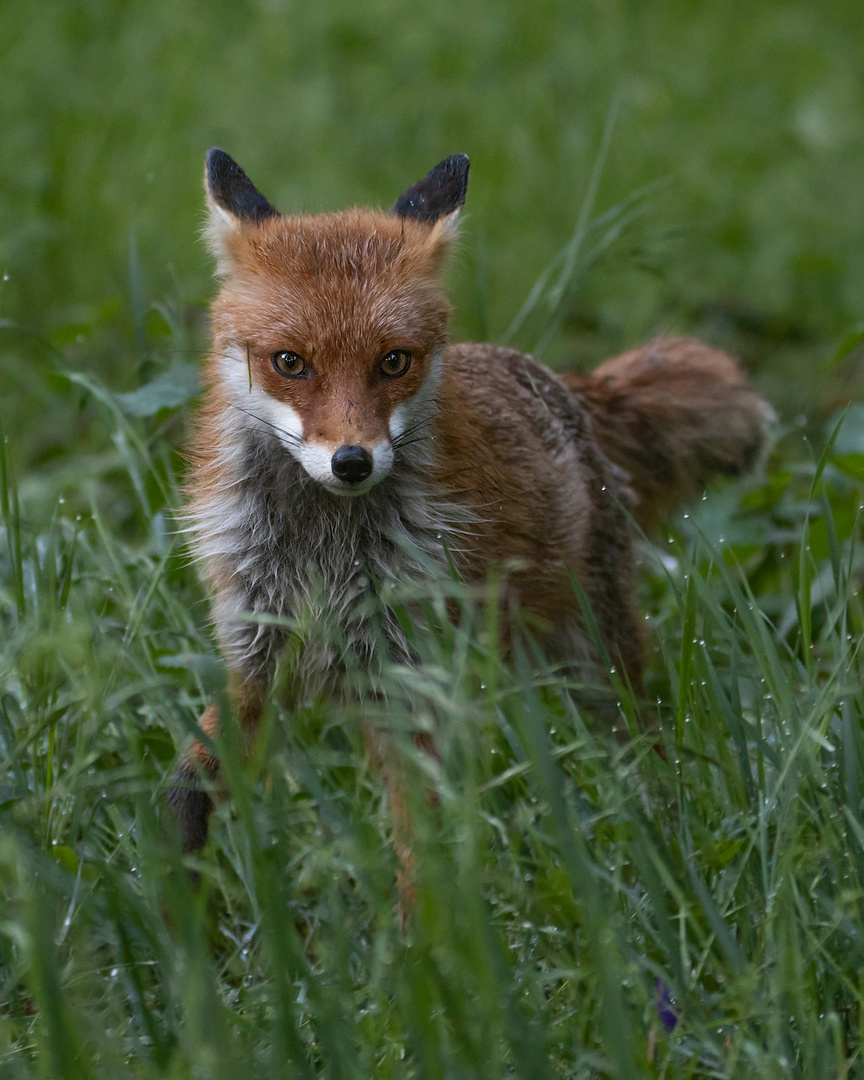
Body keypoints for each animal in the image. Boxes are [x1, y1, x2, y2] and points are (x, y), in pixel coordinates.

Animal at [167, 150, 768, 859]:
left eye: (393, 362)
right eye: (290, 362)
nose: (352, 462)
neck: (323, 550)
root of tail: (562, 383)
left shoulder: (407, 676)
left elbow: (419, 846)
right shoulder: (259, 656)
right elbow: (188, 783)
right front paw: (172, 872)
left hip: (590, 659)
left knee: (641, 743)